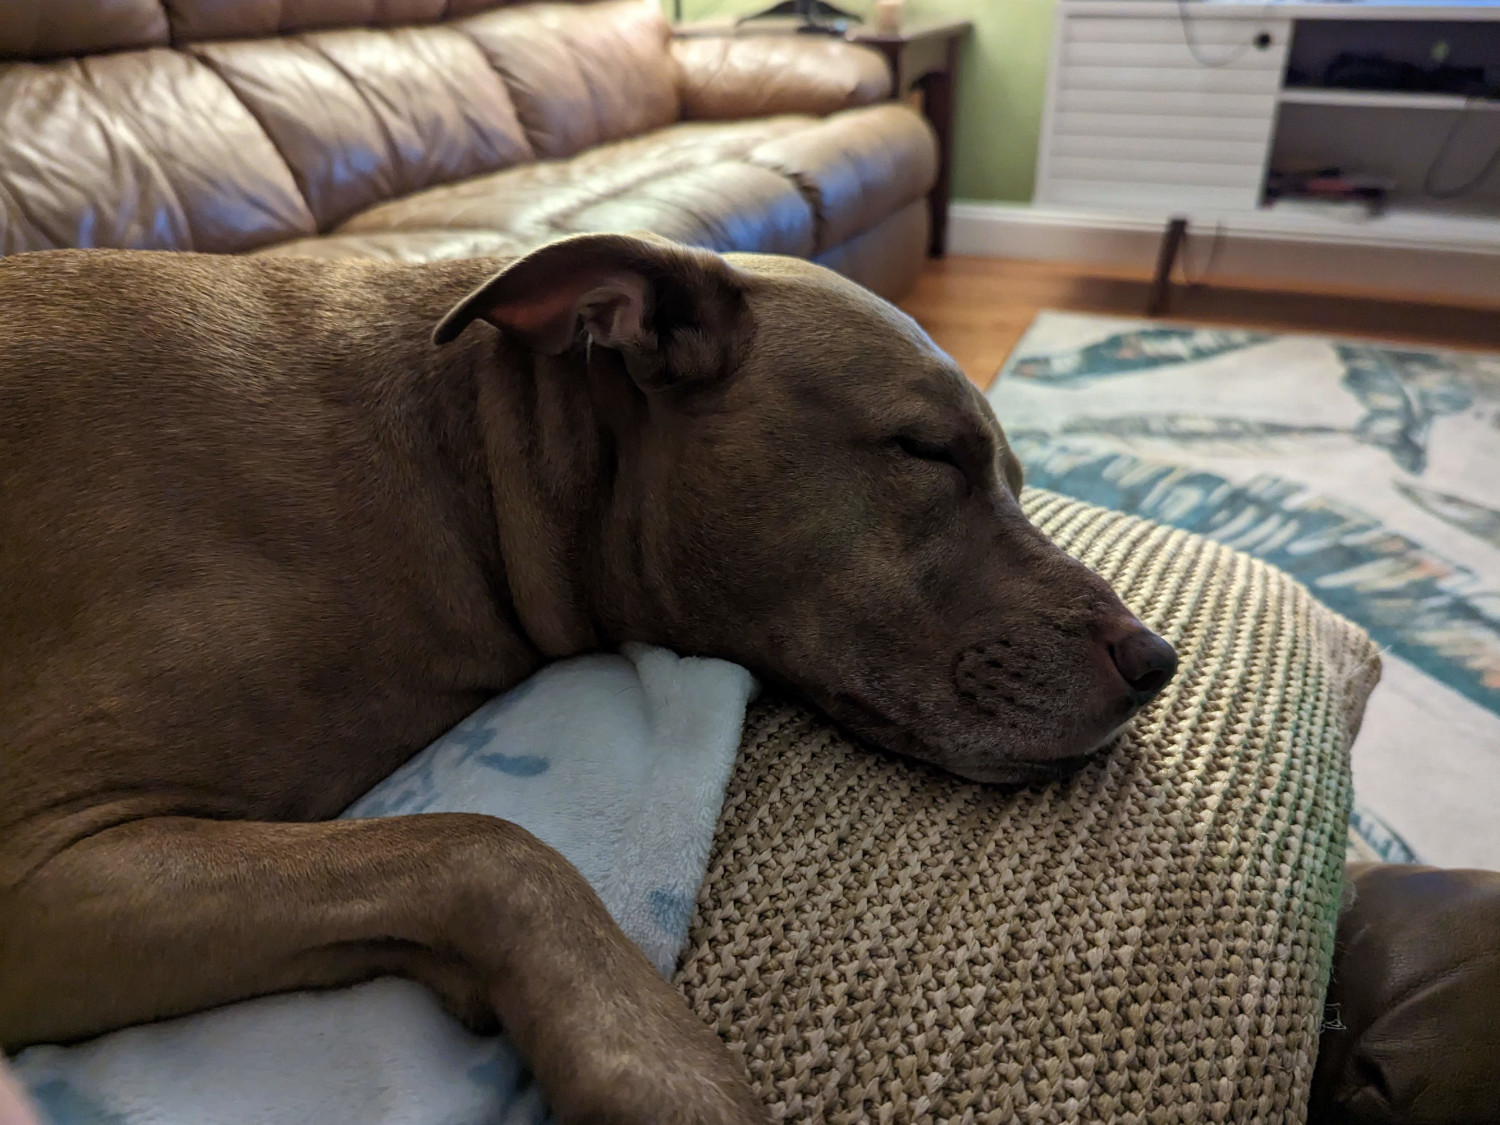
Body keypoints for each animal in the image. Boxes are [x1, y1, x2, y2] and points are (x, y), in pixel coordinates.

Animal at [0, 234, 1170, 1122]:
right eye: (926, 450)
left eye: (1016, 474)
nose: (1158, 661)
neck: (458, 471)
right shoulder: (38, 863)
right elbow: (486, 845)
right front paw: (662, 1070)